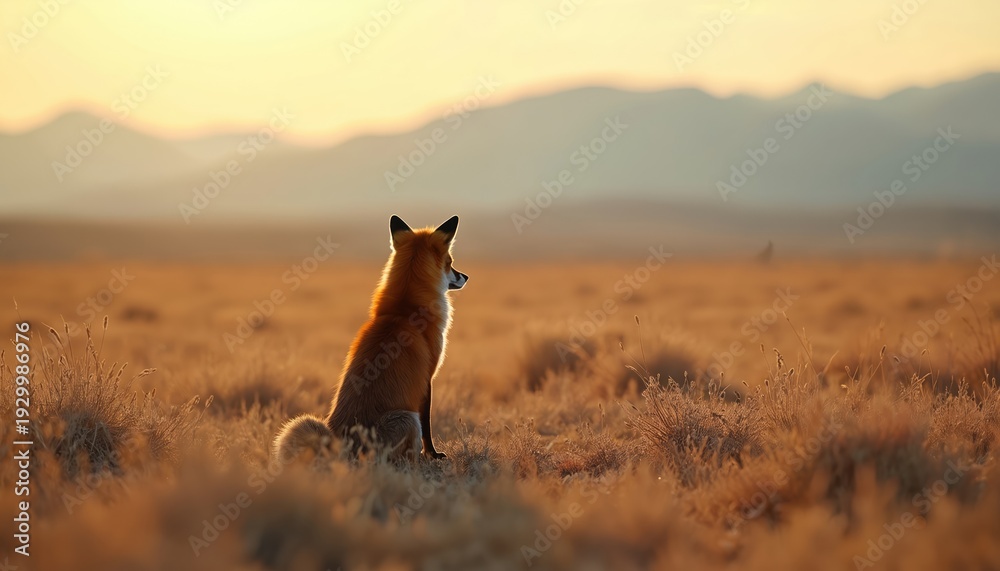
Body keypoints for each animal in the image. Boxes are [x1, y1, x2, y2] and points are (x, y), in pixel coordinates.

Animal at [273, 215, 468, 464]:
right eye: (450, 262)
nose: (466, 277)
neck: (403, 310)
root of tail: (340, 446)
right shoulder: (427, 379)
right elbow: (428, 427)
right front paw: (433, 455)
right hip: (408, 418)